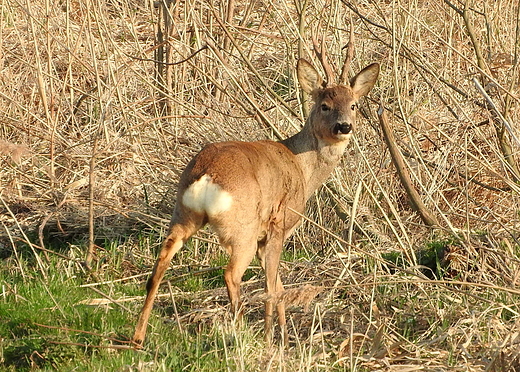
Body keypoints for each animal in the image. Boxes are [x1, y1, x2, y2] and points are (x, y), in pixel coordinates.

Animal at [132, 41, 380, 346]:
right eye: (325, 106)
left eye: (353, 105)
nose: (344, 126)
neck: (302, 167)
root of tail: (206, 176)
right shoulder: (278, 225)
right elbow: (272, 284)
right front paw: (274, 338)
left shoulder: (265, 236)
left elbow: (279, 284)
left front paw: (282, 335)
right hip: (243, 228)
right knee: (231, 274)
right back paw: (242, 335)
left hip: (183, 214)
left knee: (159, 264)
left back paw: (138, 337)